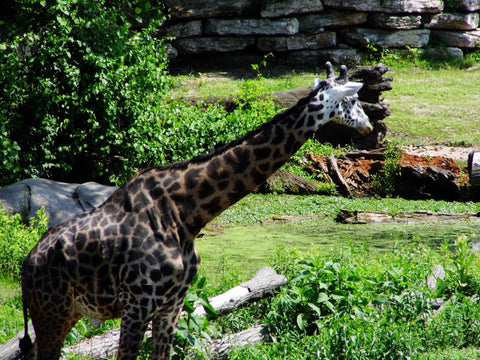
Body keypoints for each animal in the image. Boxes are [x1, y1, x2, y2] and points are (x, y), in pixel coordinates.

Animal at [18, 63, 372, 358]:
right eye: (354, 99)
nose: (369, 125)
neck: (187, 216)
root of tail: (26, 266)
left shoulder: (170, 305)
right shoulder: (137, 305)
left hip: (63, 314)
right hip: (52, 314)